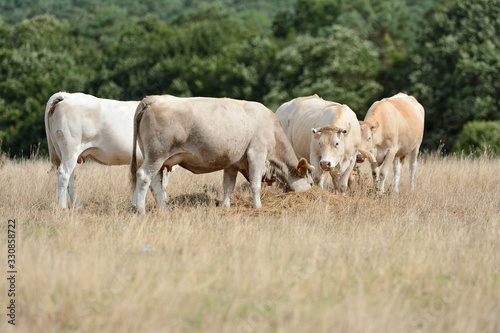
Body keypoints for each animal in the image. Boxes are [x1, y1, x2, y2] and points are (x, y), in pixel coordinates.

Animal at [131, 94, 314, 213]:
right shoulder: (257, 154)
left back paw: (163, 209)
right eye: (311, 184)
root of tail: (152, 99)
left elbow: (228, 186)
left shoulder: (232, 163)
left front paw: (225, 206)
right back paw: (141, 210)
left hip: (157, 158)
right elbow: (255, 184)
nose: (312, 190)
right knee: (143, 176)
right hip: (157, 154)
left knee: (154, 183)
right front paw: (258, 206)